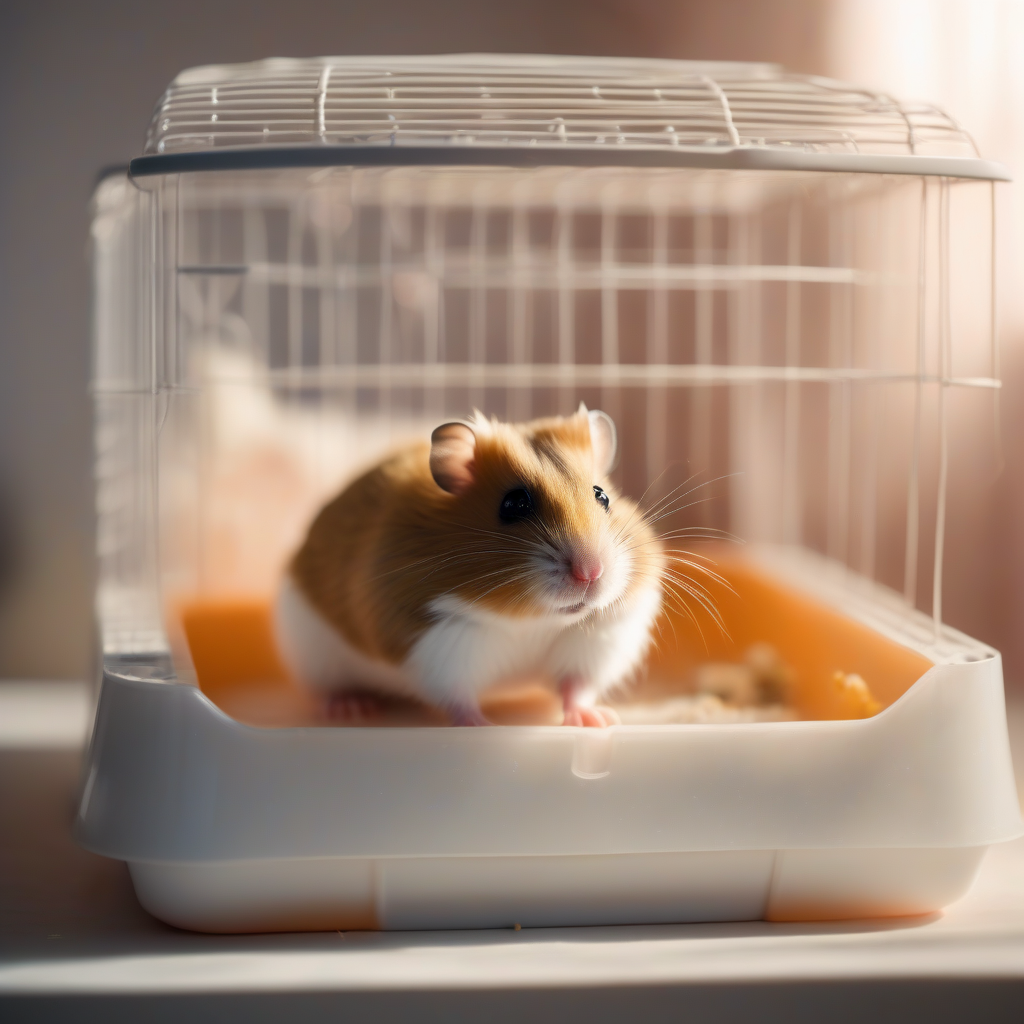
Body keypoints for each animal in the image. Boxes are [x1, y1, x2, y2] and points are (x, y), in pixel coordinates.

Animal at [273, 404, 664, 727]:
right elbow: (457, 698)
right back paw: (350, 708)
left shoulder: (597, 643)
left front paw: (598, 721)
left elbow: (576, 687)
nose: (591, 572)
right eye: (514, 505)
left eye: (602, 496)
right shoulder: (438, 646)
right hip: (313, 653)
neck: (531, 622)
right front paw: (482, 726)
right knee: (328, 688)